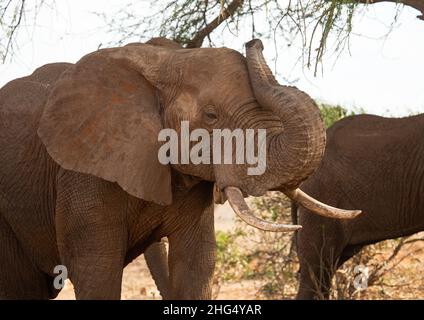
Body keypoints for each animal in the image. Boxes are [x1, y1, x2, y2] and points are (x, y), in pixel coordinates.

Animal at [0, 37, 362, 300]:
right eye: (212, 116)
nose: (254, 41)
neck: (163, 63)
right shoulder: (83, 170)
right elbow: (96, 269)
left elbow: (195, 263)